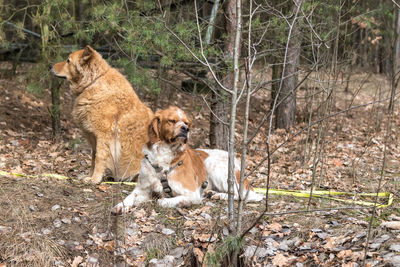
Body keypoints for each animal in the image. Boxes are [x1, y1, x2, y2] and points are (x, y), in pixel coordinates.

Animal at [51, 46, 153, 184]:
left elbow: (99, 158)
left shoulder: (103, 136)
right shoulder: (93, 137)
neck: (93, 82)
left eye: (68, 61)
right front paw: (89, 176)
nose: (50, 66)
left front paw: (95, 179)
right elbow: (93, 158)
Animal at [111, 108, 264, 215]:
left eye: (186, 122)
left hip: (214, 166)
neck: (164, 156)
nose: (186, 129)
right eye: (172, 121)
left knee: (244, 194)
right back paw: (213, 193)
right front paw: (120, 206)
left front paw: (166, 201)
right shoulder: (142, 189)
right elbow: (130, 197)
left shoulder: (192, 193)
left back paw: (220, 195)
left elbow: (164, 201)